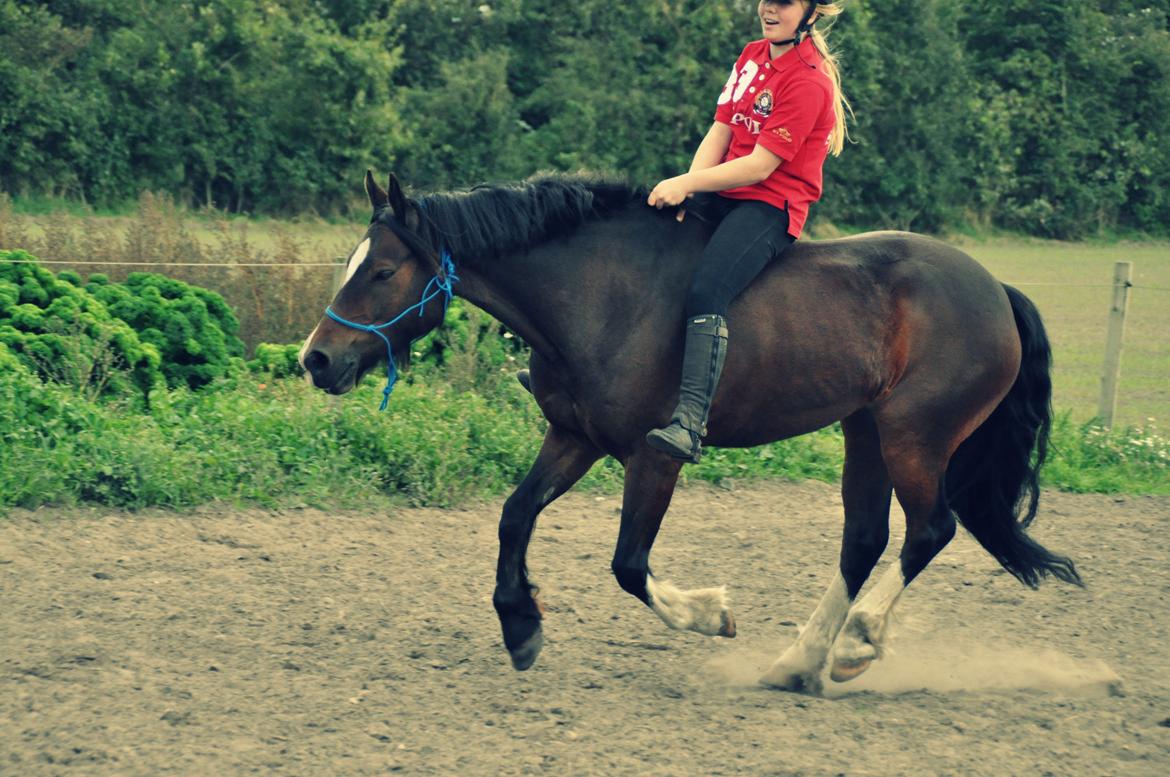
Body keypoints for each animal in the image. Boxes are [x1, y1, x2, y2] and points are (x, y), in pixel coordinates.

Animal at [300, 171, 1082, 692]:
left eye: (382, 270)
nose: (317, 359)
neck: (601, 295)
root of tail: (994, 290)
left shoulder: (655, 459)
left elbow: (628, 564)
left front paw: (710, 615)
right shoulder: (573, 438)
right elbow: (514, 515)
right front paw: (521, 625)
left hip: (914, 436)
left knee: (930, 530)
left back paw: (856, 644)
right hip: (865, 431)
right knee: (864, 539)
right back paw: (797, 662)